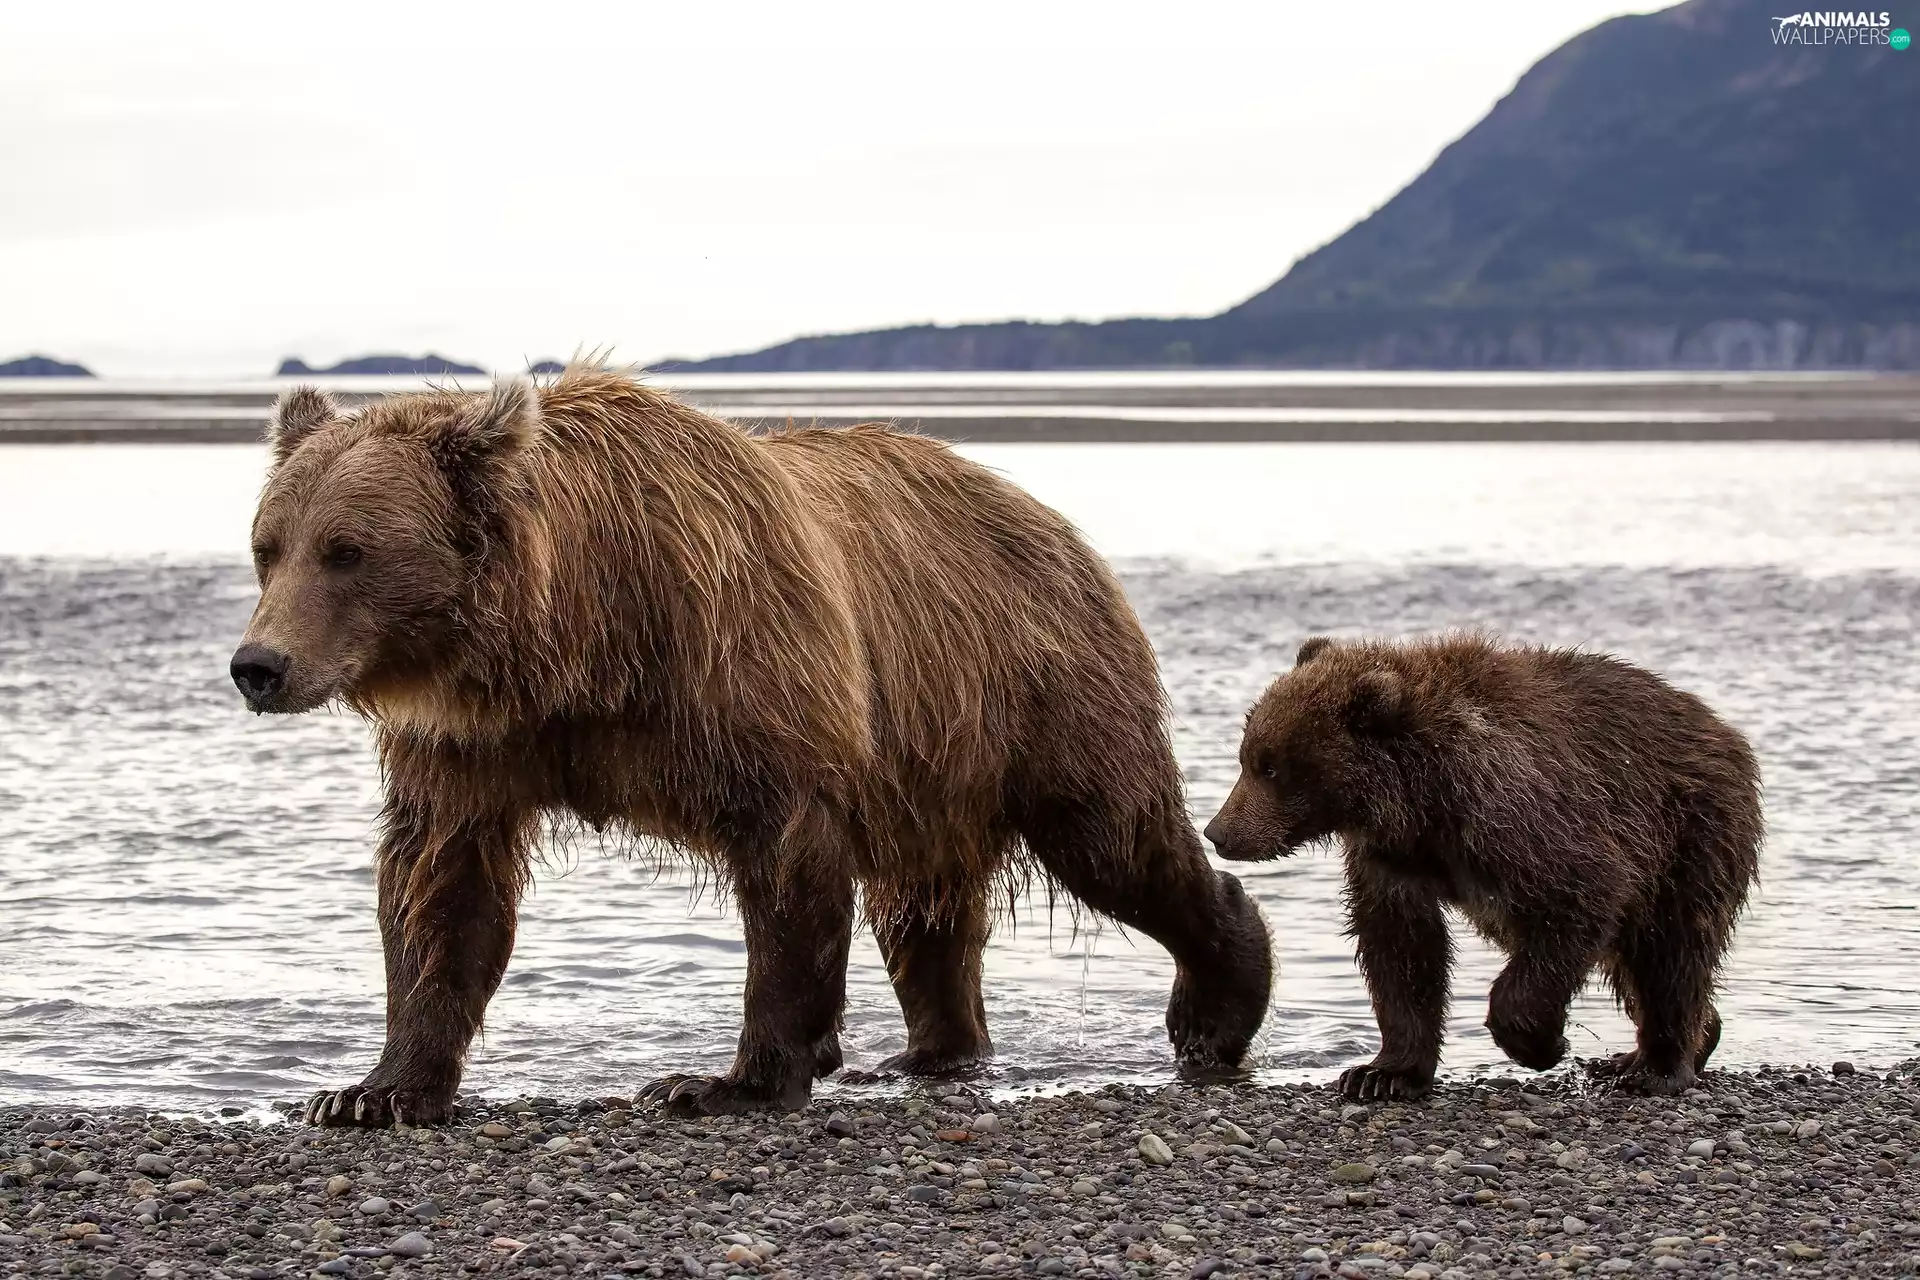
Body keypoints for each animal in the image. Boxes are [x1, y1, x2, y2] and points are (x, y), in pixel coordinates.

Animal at [230, 365, 1272, 1125]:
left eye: (347, 549)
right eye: (268, 545)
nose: (258, 666)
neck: (579, 635)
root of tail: (1050, 518)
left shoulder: (741, 669)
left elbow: (785, 869)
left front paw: (721, 1081)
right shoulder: (475, 743)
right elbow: (440, 886)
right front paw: (369, 1091)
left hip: (1038, 690)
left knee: (1117, 843)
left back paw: (1218, 1004)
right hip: (930, 761)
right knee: (924, 911)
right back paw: (929, 1052)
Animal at [1203, 633, 1760, 1099]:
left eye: (1270, 766)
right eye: (1246, 756)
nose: (1218, 832)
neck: (1419, 800)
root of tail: (1724, 730)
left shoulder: (1520, 816)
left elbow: (1582, 894)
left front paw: (1541, 1043)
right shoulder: (1392, 860)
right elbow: (1400, 947)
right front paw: (1381, 1074)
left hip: (1689, 833)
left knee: (1671, 951)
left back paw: (1657, 1066)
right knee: (1635, 961)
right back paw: (1673, 1043)